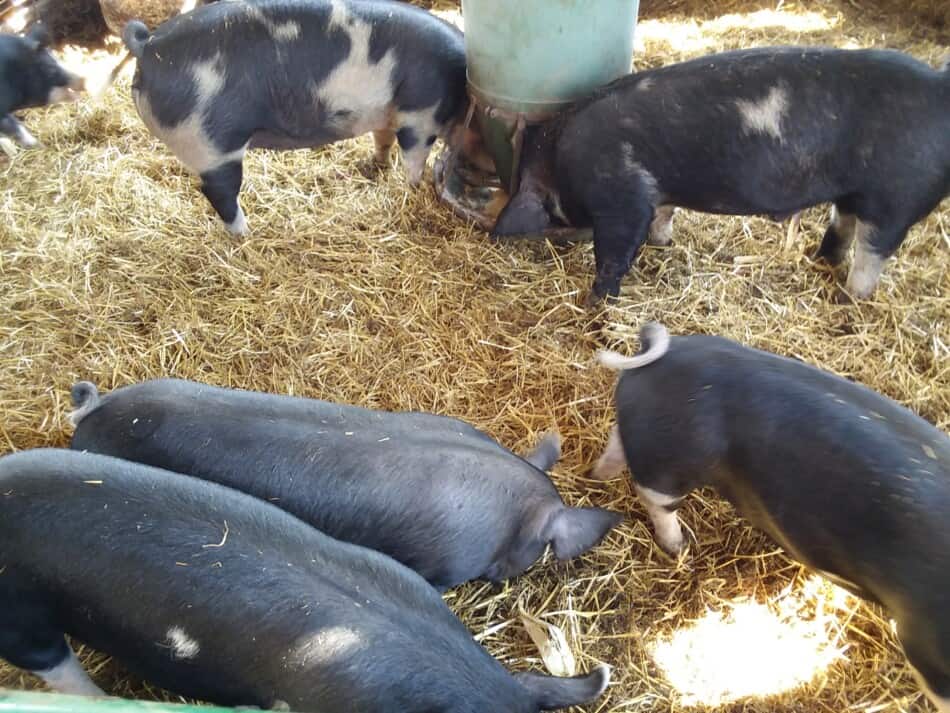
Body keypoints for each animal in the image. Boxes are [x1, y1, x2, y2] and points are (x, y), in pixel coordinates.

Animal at [122, 0, 490, 234]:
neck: (458, 86)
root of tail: (148, 47)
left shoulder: (388, 112)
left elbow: (382, 139)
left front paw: (375, 167)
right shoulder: (420, 114)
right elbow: (413, 156)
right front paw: (412, 188)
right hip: (210, 142)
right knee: (219, 192)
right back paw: (247, 235)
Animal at [494, 46, 950, 304]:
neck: (562, 159)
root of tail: (938, 88)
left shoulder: (621, 193)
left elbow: (616, 249)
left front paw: (596, 302)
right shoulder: (658, 193)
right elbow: (664, 215)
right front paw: (663, 243)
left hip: (893, 198)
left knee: (873, 250)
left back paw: (846, 300)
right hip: (856, 193)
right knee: (844, 224)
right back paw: (819, 260)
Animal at [596, 322, 950, 712]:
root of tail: (663, 353)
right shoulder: (926, 645)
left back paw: (599, 474)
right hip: (672, 464)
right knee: (654, 498)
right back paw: (678, 546)